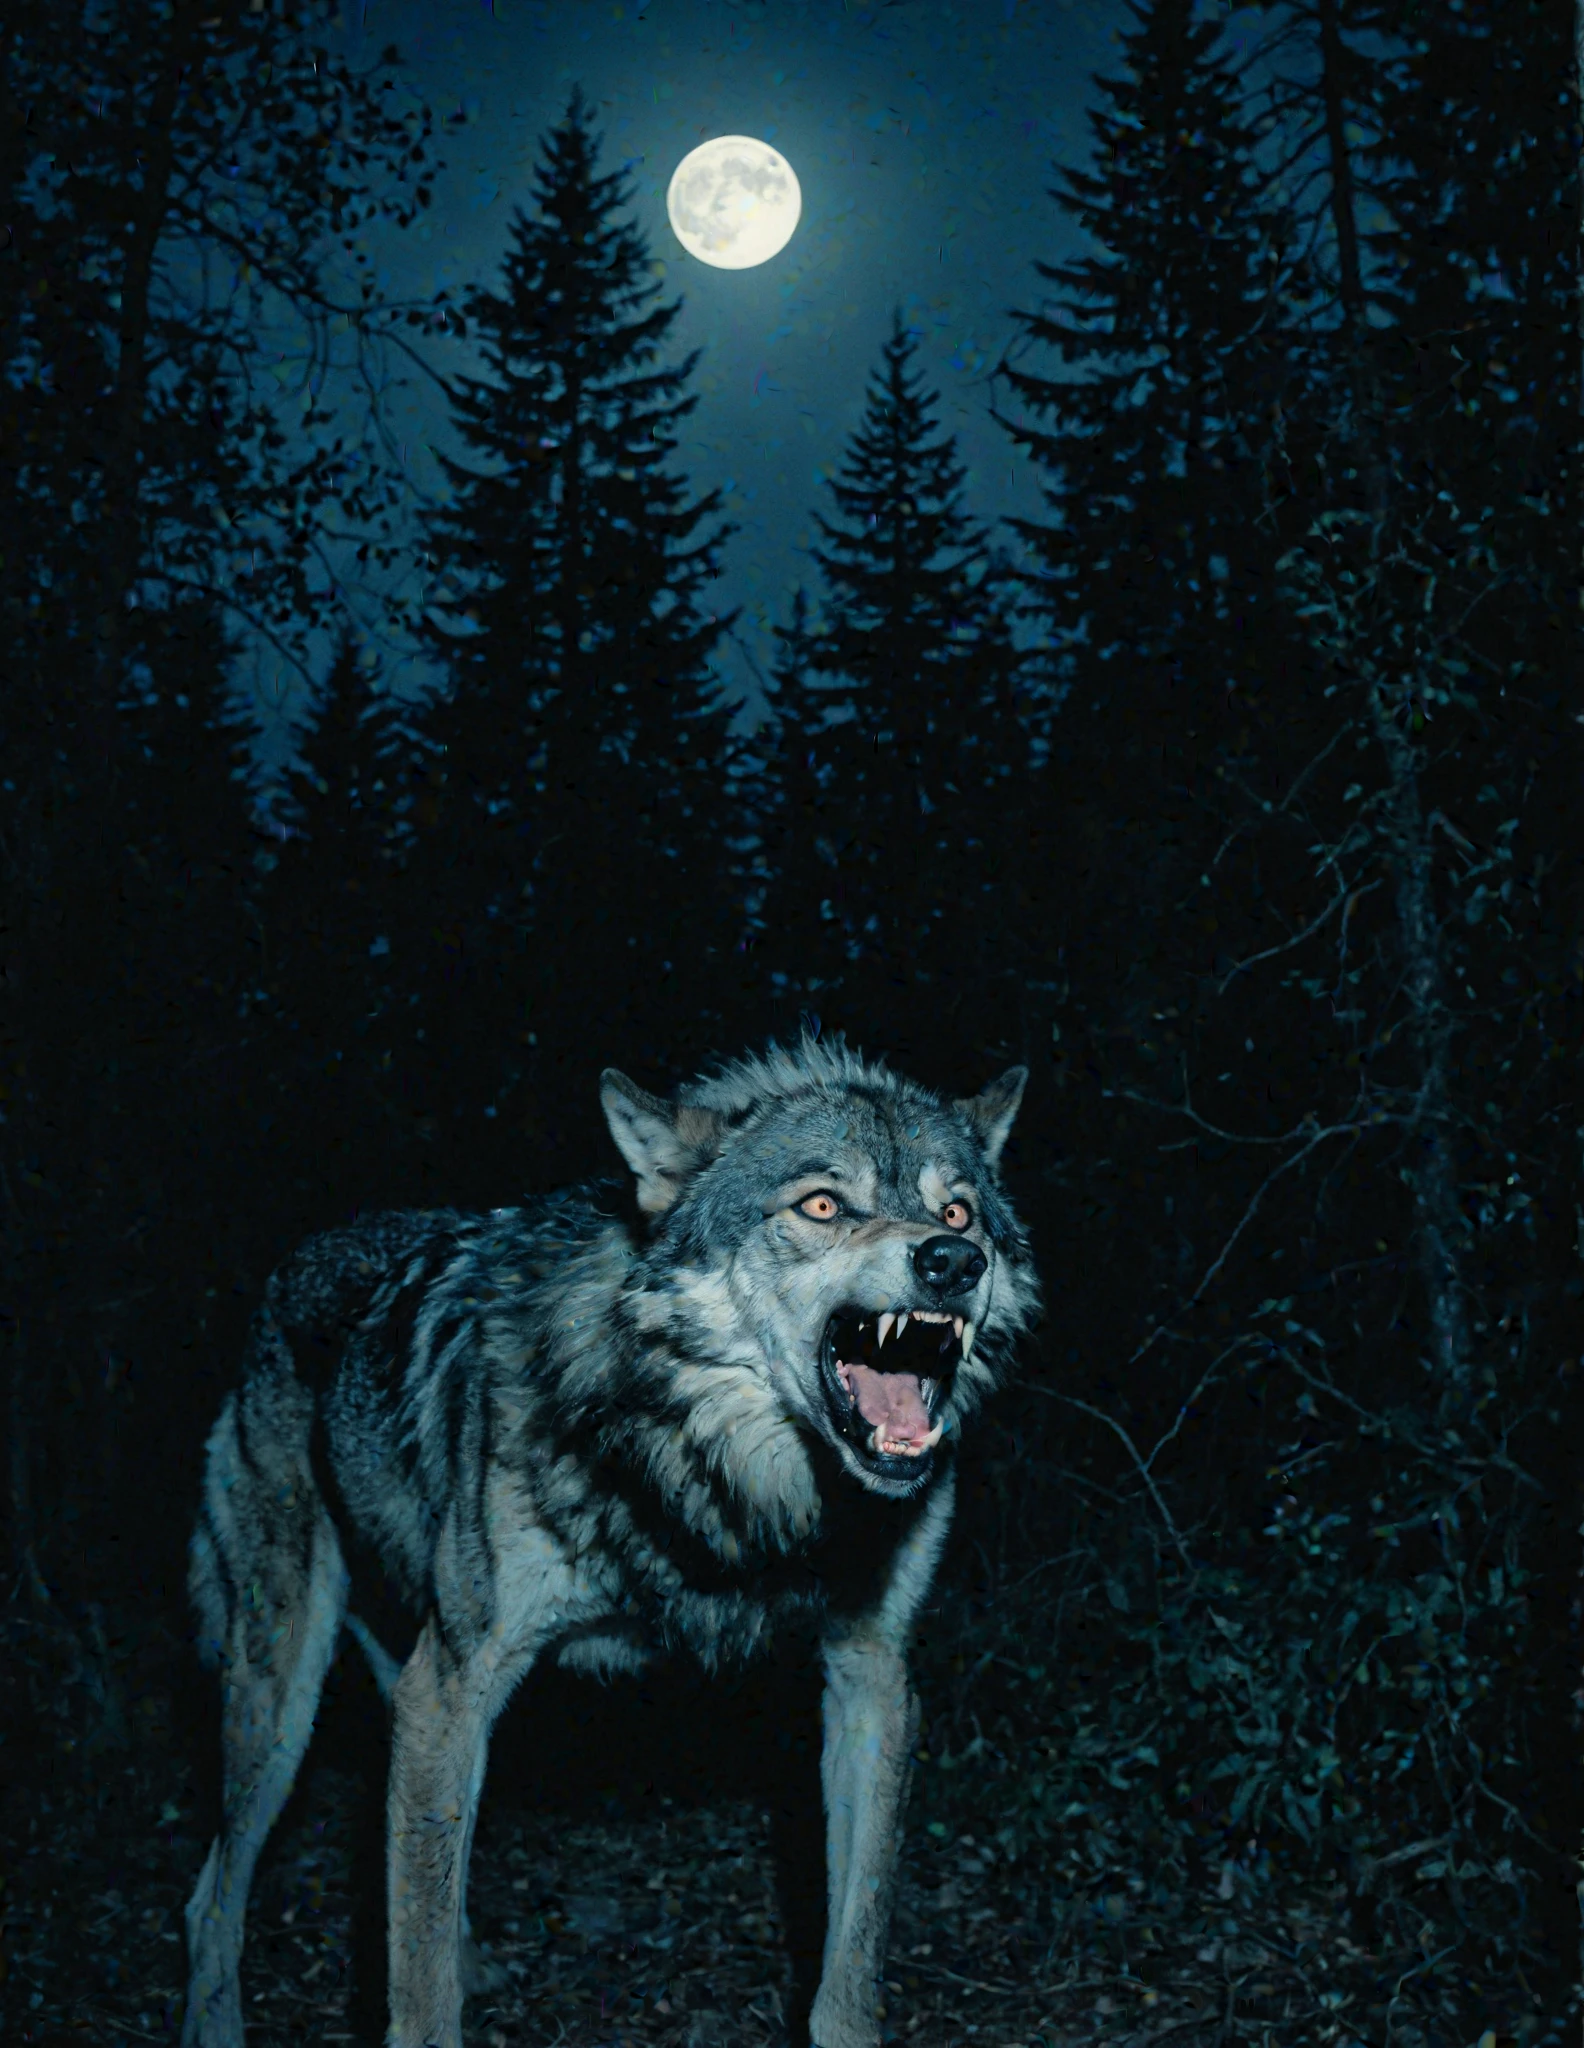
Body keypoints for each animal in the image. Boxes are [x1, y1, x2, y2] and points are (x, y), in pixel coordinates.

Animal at [181, 1034, 1038, 2048]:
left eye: (959, 1211)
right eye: (824, 1205)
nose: (953, 1260)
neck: (724, 1484)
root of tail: (297, 1261)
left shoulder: (871, 1674)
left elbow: (850, 1971)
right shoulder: (459, 1678)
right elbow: (419, 2003)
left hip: (394, 1680)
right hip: (283, 1701)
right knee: (214, 1892)